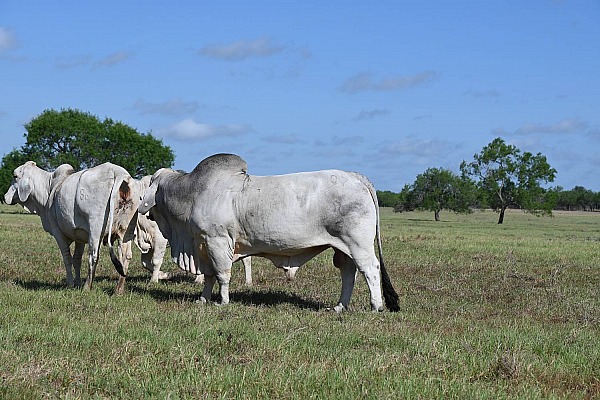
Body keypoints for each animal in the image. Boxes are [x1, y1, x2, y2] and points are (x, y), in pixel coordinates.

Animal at [3, 160, 142, 294]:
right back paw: (118, 289)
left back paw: (87, 287)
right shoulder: (80, 235)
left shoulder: (58, 232)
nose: (5, 197)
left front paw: (70, 283)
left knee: (93, 256)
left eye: (15, 176)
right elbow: (76, 259)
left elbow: (67, 258)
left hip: (96, 227)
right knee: (126, 256)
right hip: (127, 230)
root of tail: (118, 172)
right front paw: (77, 283)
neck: (49, 188)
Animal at [137, 153, 398, 312]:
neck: (191, 193)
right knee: (348, 273)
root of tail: (355, 176)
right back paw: (339, 306)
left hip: (358, 244)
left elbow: (222, 275)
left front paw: (223, 301)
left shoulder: (217, 242)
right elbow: (209, 275)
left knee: (370, 269)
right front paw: (203, 299)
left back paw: (376, 306)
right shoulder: (202, 246)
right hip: (342, 247)